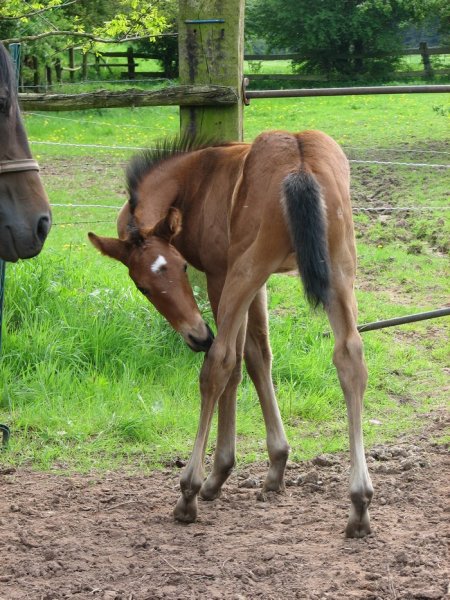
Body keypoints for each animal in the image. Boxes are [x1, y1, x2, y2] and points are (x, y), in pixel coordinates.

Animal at [89, 131, 374, 540]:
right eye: (143, 286)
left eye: (182, 266)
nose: (197, 336)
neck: (196, 180)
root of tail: (300, 160)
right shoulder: (263, 285)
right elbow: (259, 358)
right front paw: (276, 466)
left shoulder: (220, 274)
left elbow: (235, 364)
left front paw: (220, 472)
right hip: (338, 270)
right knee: (350, 356)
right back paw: (359, 504)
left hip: (246, 268)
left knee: (218, 362)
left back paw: (189, 492)